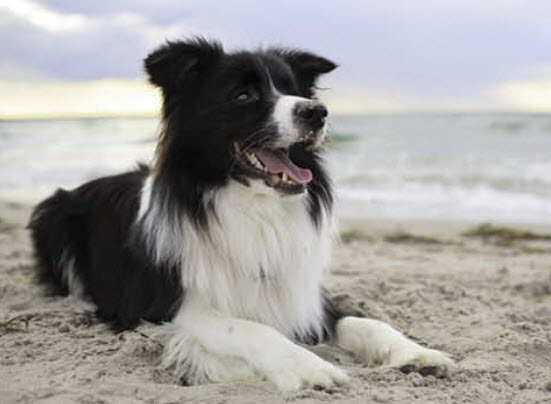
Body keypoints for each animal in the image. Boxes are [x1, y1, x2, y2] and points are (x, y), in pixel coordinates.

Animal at [28, 38, 454, 392]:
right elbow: (249, 328)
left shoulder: (303, 298)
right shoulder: (163, 307)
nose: (317, 112)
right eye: (243, 95)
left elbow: (362, 321)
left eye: (294, 90)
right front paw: (309, 367)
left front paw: (416, 353)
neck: (254, 208)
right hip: (52, 215)